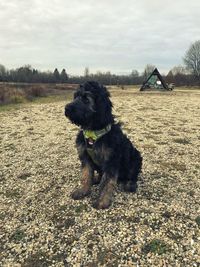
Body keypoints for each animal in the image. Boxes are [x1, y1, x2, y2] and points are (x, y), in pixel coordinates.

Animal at [64, 80, 142, 210]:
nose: (67, 108)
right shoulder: (85, 156)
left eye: (86, 99)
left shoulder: (111, 160)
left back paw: (130, 184)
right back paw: (95, 179)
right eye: (75, 96)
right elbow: (86, 175)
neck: (94, 132)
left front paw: (102, 202)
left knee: (133, 175)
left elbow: (106, 182)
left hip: (135, 157)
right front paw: (83, 191)